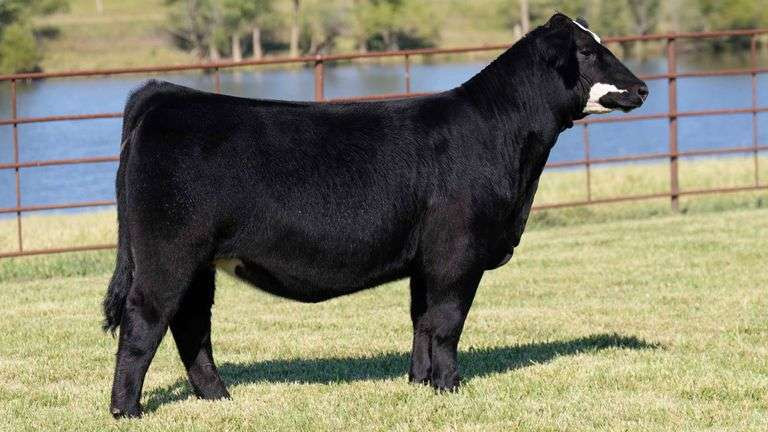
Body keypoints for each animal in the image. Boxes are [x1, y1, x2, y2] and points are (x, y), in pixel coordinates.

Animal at [103, 13, 647, 418]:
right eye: (588, 51)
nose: (642, 88)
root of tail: (169, 95)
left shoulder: (426, 259)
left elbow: (422, 321)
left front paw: (420, 383)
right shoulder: (458, 251)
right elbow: (448, 321)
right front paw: (451, 387)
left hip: (197, 262)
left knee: (191, 323)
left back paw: (218, 398)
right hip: (168, 253)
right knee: (146, 320)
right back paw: (127, 410)